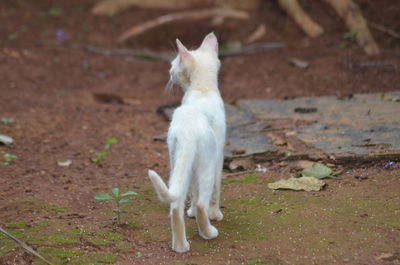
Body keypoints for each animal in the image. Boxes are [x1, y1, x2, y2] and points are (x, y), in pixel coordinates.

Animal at [148, 32, 227, 252]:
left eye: (173, 65)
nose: (169, 72)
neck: (202, 88)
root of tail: (187, 131)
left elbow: (192, 191)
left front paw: (189, 212)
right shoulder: (219, 156)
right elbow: (214, 191)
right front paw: (215, 214)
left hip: (176, 161)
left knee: (176, 205)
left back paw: (180, 246)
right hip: (207, 163)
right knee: (202, 202)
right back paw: (208, 232)